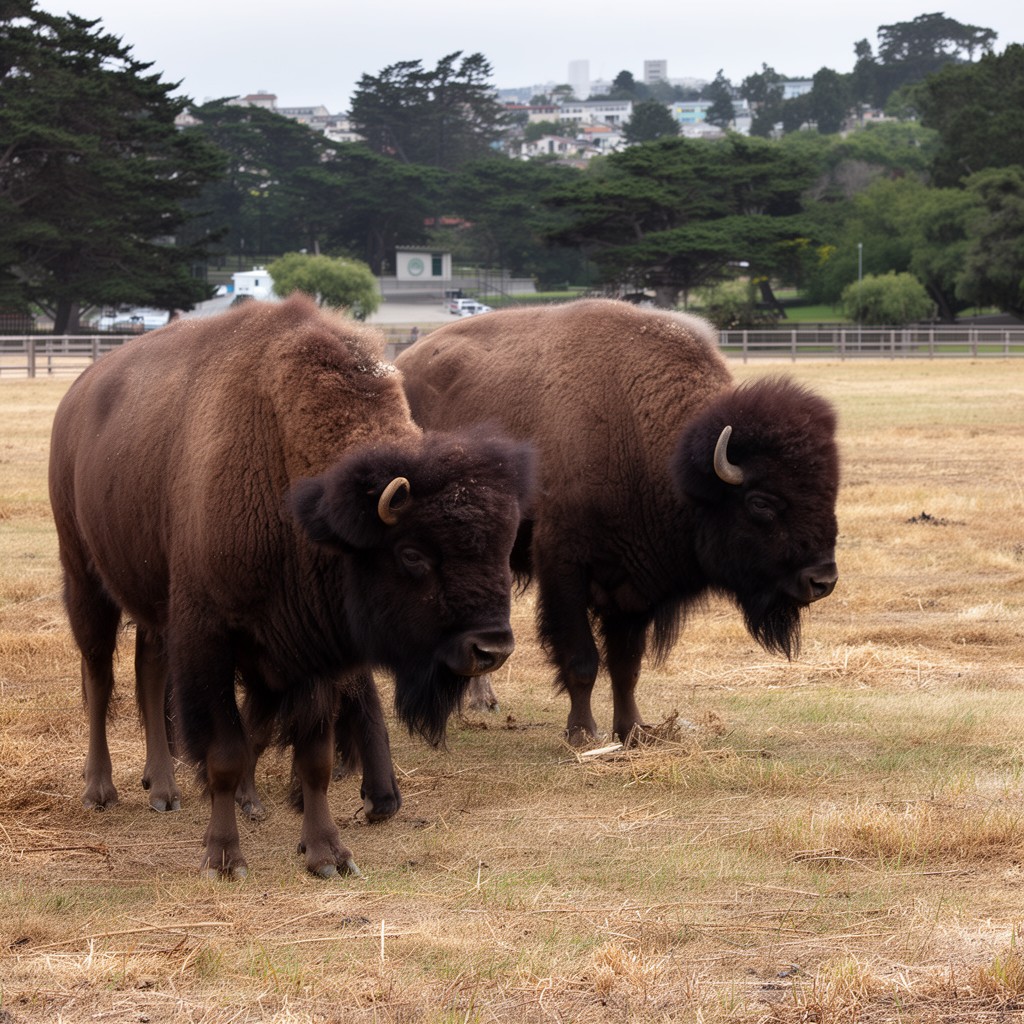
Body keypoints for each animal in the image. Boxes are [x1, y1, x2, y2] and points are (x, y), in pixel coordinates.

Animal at [49, 296, 534, 878]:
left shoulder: (312, 652)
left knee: (148, 674)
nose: (492, 648)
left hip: (153, 605)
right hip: (85, 579)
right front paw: (224, 858)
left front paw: (328, 854)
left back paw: (163, 789)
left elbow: (314, 758)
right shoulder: (208, 637)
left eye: (502, 546)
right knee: (99, 678)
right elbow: (225, 752)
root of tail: (77, 395)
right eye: (412, 553)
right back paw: (99, 790)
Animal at [395, 299, 839, 744]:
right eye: (761, 502)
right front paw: (582, 733)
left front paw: (632, 731)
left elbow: (627, 666)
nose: (822, 580)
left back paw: (481, 701)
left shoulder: (633, 583)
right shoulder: (565, 568)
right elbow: (582, 660)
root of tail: (404, 363)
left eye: (829, 491)